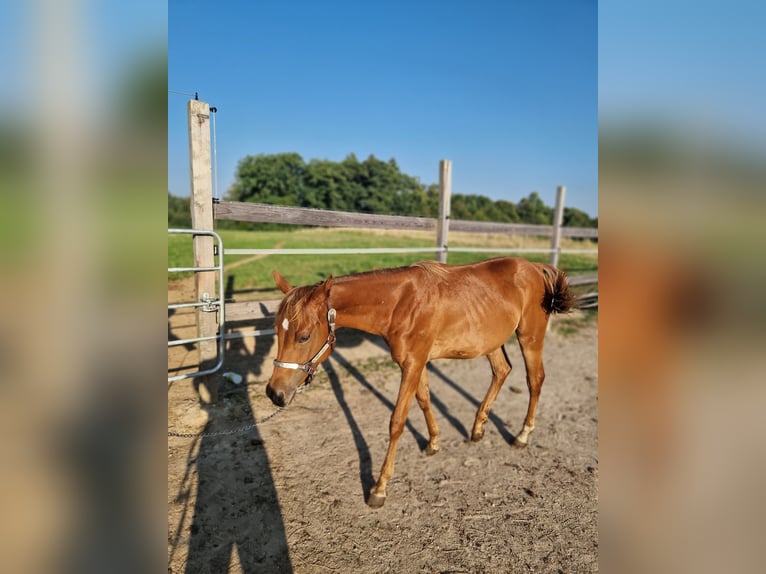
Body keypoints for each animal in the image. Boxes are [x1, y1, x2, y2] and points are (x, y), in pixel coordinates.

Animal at [265, 257, 576, 508]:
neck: (401, 302)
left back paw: (522, 435)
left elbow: (397, 421)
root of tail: (535, 267)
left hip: (530, 337)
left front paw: (379, 489)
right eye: (276, 330)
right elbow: (424, 399)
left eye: (304, 336)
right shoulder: (416, 362)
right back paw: (477, 428)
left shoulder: (413, 364)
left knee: (535, 380)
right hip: (491, 341)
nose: (275, 393)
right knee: (502, 371)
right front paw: (433, 442)